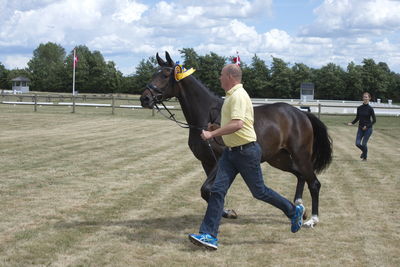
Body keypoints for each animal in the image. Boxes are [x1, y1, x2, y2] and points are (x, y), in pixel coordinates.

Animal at [139, 51, 332, 228]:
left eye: (165, 75)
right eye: (153, 74)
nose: (144, 98)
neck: (206, 117)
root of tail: (301, 114)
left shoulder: (220, 160)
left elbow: (207, 189)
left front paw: (226, 213)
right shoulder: (207, 162)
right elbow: (210, 192)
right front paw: (226, 212)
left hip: (300, 155)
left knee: (314, 183)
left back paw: (312, 219)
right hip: (279, 158)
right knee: (300, 175)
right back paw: (299, 208)